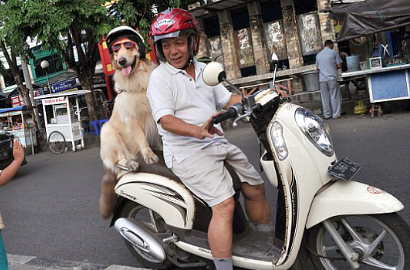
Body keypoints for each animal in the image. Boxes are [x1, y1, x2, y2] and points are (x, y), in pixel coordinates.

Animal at [99, 35, 162, 219]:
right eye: (116, 50)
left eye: (128, 46)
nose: (121, 61)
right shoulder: (132, 118)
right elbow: (142, 139)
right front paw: (149, 155)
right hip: (107, 131)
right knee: (118, 162)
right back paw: (130, 164)